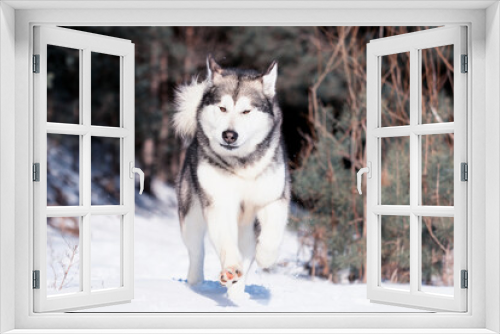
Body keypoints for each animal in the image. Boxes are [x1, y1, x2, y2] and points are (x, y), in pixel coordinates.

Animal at [174, 54, 290, 300]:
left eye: (246, 111)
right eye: (222, 108)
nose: (229, 135)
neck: (241, 165)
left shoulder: (273, 199)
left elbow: (272, 234)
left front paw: (266, 257)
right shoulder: (219, 203)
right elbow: (226, 242)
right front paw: (230, 269)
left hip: (247, 230)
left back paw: (237, 294)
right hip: (191, 216)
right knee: (196, 251)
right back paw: (197, 284)